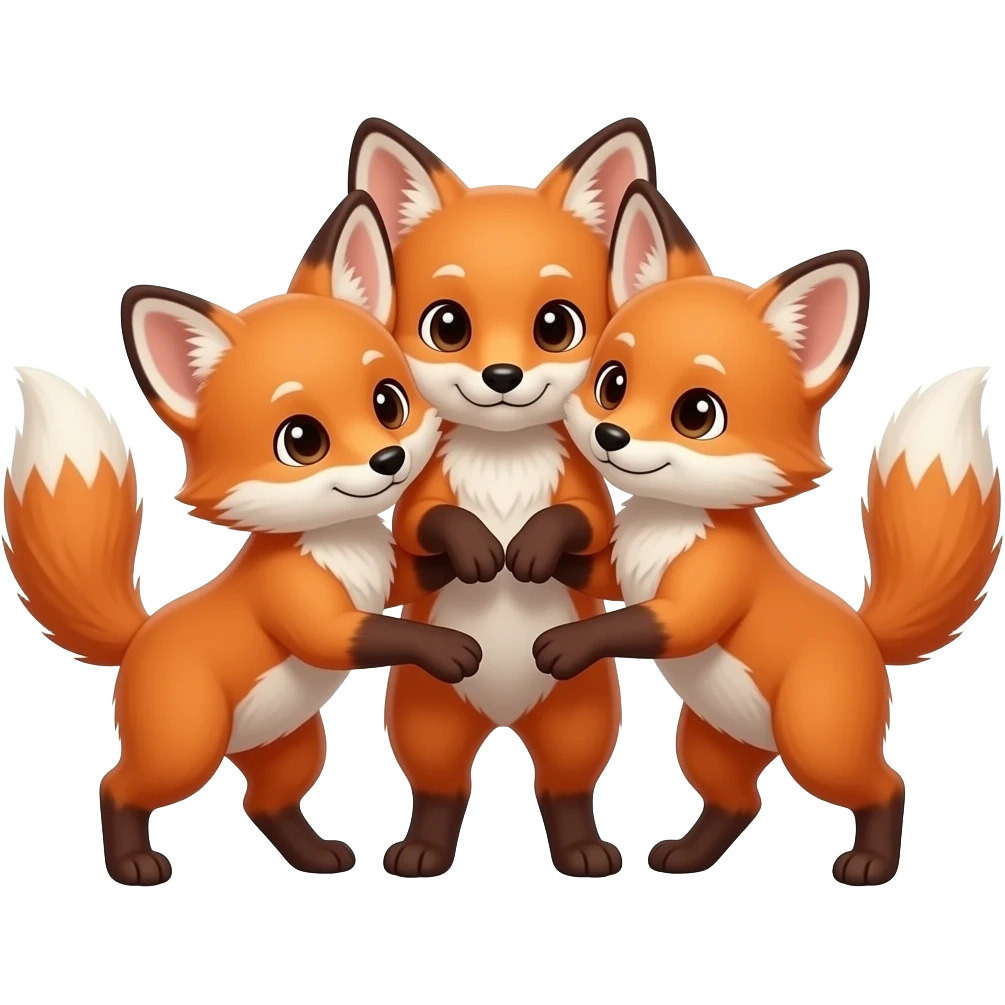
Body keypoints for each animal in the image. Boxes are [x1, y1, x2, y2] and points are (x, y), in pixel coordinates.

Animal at [2, 192, 485, 888]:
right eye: (302, 440)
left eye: (388, 403)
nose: (389, 460)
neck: (341, 547)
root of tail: (139, 637)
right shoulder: (306, 609)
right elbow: (367, 635)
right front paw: (446, 649)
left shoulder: (387, 575)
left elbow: (423, 569)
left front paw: (477, 544)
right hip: (185, 747)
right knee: (117, 785)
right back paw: (133, 865)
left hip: (292, 746)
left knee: (263, 803)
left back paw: (315, 857)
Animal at [288, 117, 658, 877]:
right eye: (447, 325)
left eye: (555, 325)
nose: (502, 374)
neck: (502, 461)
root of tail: (504, 717)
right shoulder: (420, 501)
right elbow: (432, 521)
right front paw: (480, 549)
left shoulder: (585, 496)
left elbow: (576, 518)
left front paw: (530, 548)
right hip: (428, 714)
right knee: (440, 786)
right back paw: (423, 850)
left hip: (577, 714)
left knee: (566, 785)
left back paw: (581, 849)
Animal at [533, 179, 1002, 886]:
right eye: (612, 383)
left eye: (697, 414)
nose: (611, 437)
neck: (664, 527)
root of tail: (867, 636)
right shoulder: (621, 566)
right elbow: (590, 569)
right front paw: (531, 546)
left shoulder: (705, 590)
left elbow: (648, 623)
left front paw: (567, 643)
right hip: (710, 743)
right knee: (741, 801)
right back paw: (687, 856)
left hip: (817, 744)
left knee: (887, 785)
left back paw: (870, 863)